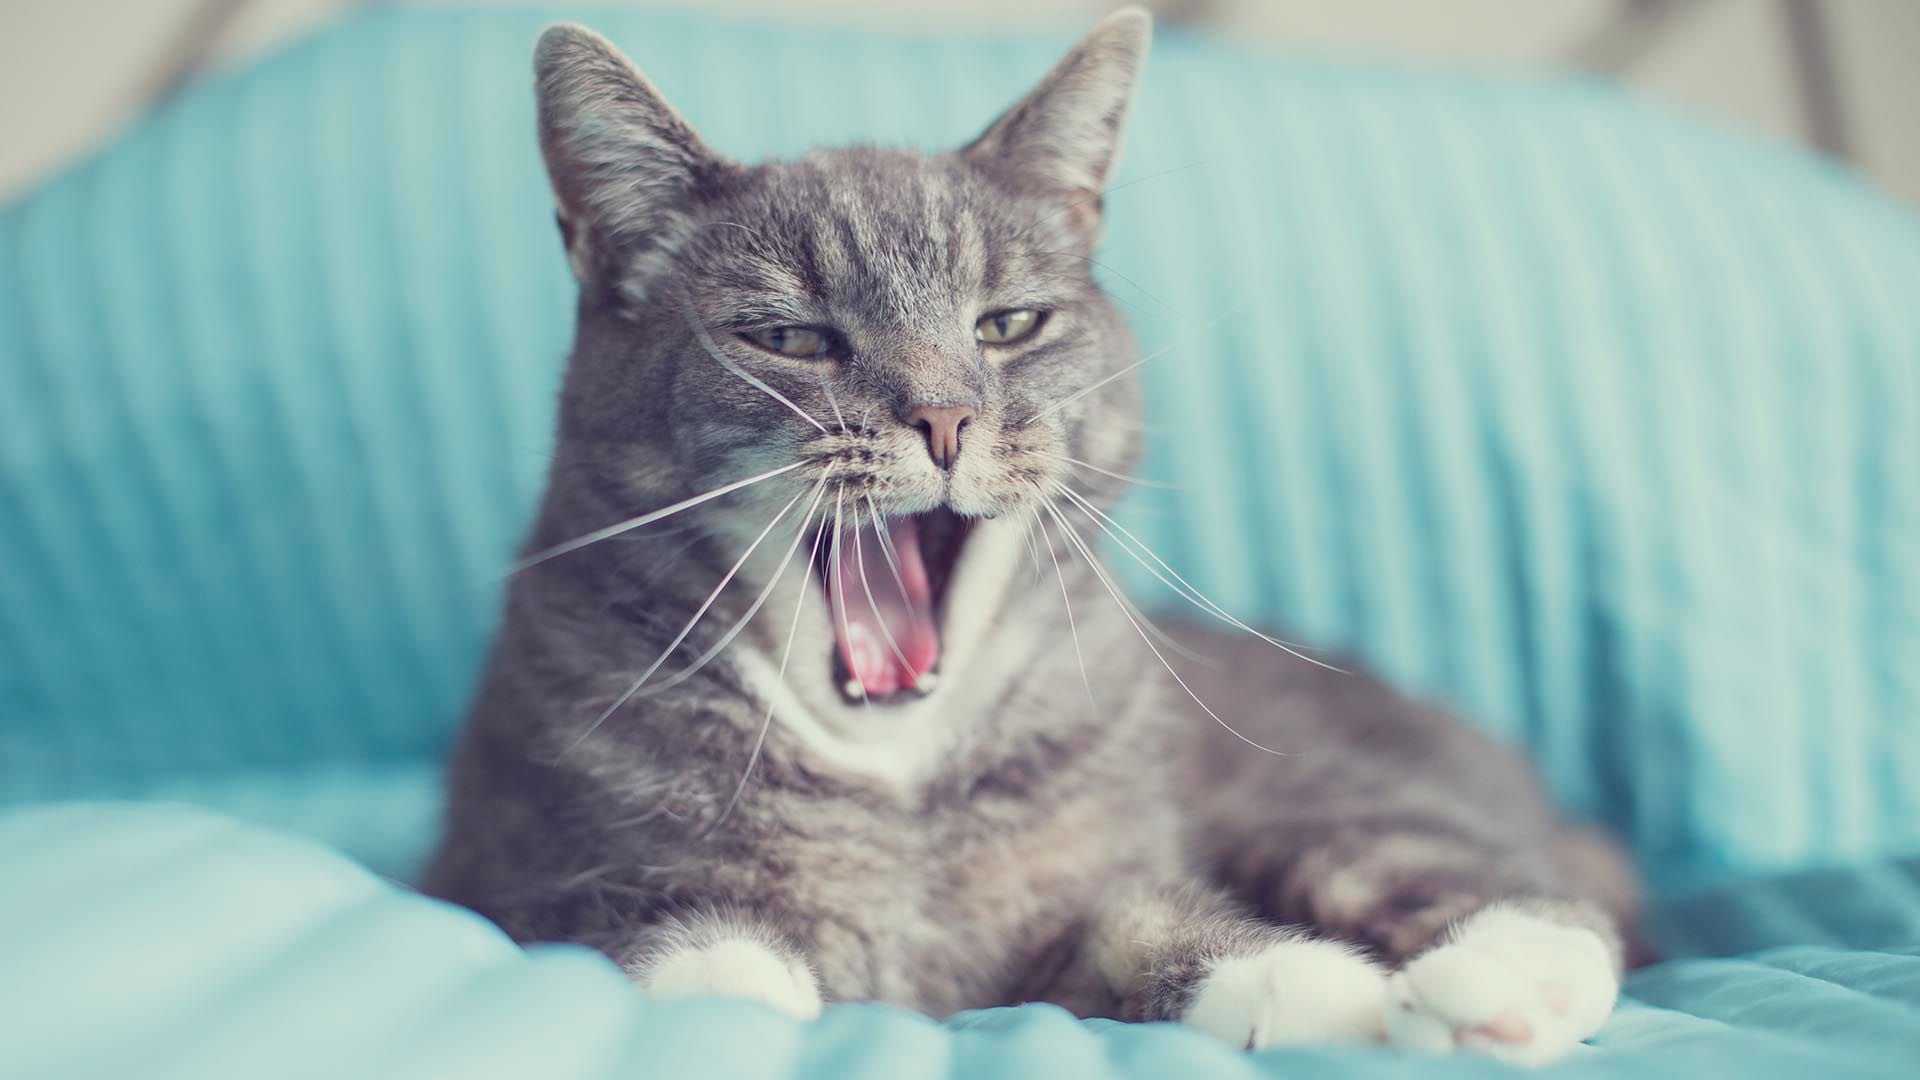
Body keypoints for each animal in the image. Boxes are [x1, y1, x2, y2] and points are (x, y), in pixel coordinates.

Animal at [428, 8, 1643, 1060]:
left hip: (1315, 801)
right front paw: (728, 985)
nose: (943, 417)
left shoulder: (1087, 888)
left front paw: (1290, 976)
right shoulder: (502, 874)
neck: (899, 789)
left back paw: (1504, 977)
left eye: (1008, 324)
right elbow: (639, 928)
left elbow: (1132, 912)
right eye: (792, 338)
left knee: (1513, 880)